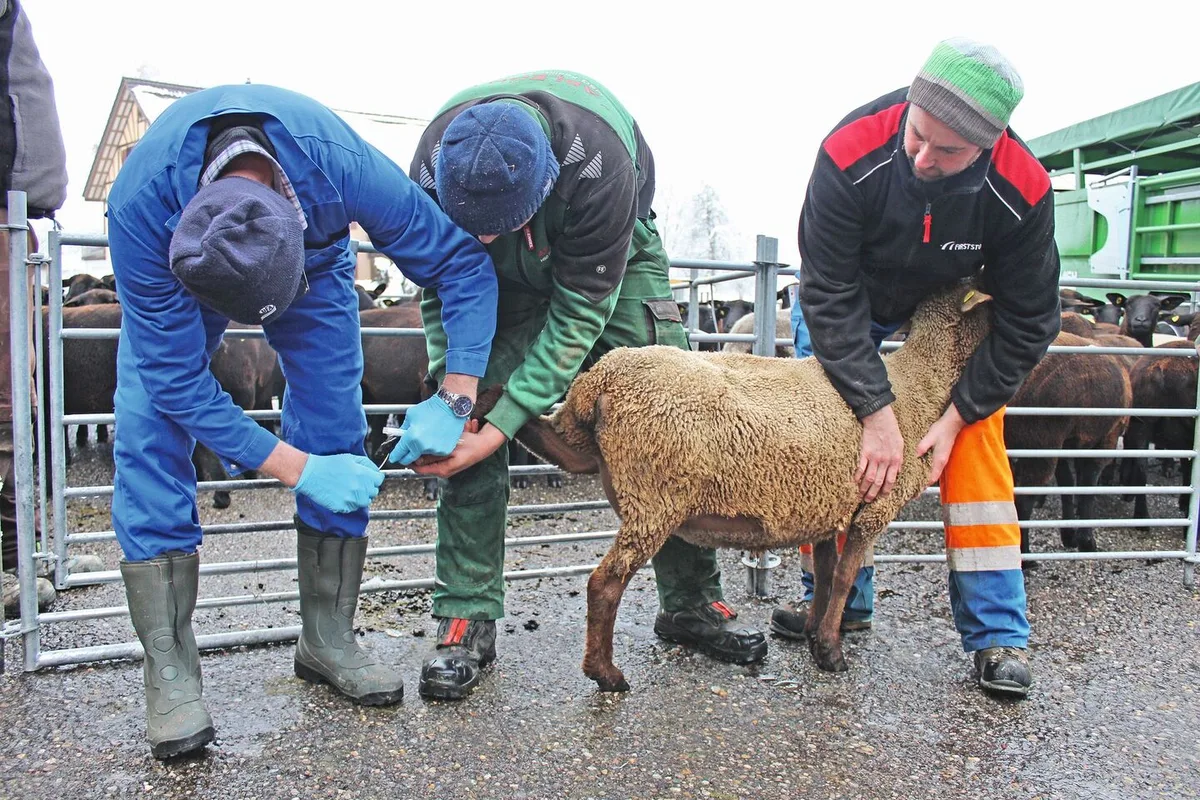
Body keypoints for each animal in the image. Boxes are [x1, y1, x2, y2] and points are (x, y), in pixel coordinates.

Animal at [501, 282, 993, 691]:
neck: (920, 384)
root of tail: (601, 379)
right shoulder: (872, 507)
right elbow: (845, 579)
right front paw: (831, 653)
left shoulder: (829, 504)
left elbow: (826, 574)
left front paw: (811, 632)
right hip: (654, 496)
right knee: (604, 584)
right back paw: (606, 675)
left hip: (603, 459)